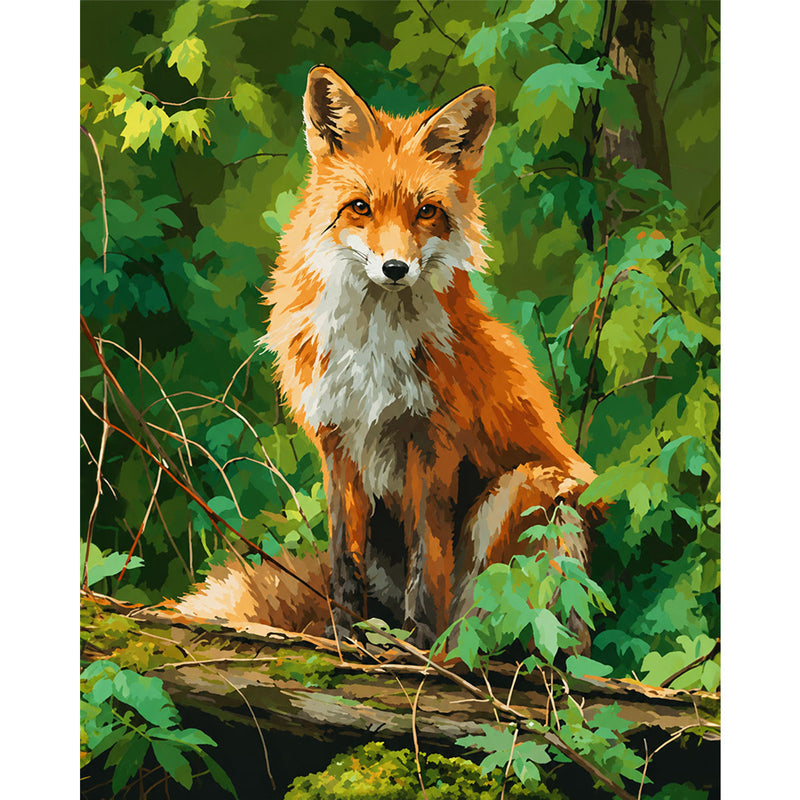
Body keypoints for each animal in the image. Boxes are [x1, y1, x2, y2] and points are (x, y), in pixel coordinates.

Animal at [178, 66, 602, 654]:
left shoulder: (432, 439)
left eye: (426, 211)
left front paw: (418, 641)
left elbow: (429, 558)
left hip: (526, 489)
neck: (372, 349)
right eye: (360, 206)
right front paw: (342, 634)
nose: (396, 268)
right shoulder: (338, 440)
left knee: (504, 621)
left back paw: (462, 652)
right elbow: (342, 557)